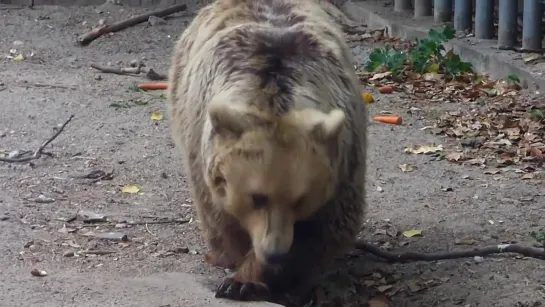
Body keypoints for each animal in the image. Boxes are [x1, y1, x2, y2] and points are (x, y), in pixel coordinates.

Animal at [167, 0, 366, 304]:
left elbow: (323, 232)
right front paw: (241, 277)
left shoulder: (344, 162)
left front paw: (264, 280)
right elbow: (225, 220)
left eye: (301, 199)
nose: (275, 252)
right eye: (257, 197)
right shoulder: (203, 160)